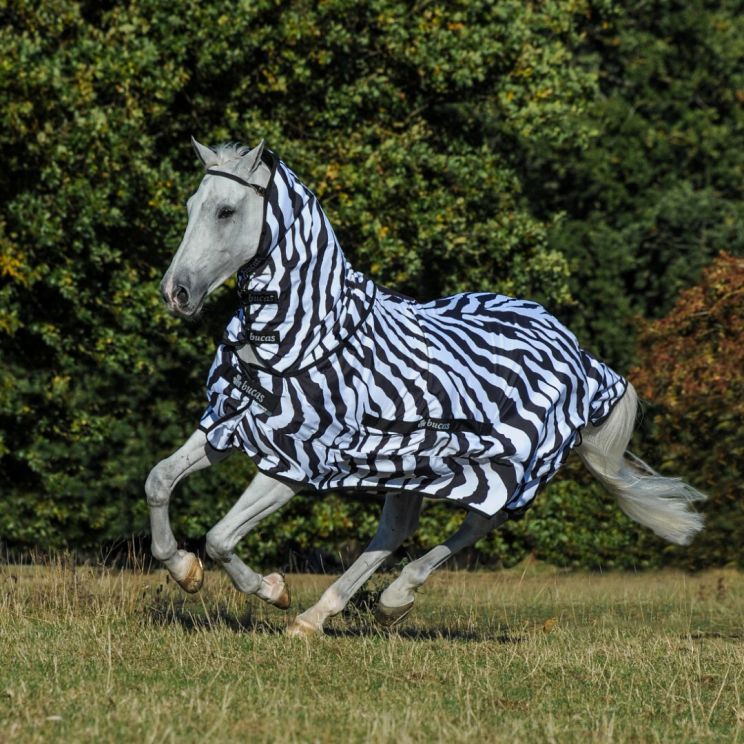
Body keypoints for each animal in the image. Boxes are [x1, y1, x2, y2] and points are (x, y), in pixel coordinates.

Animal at [146, 138, 705, 636]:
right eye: (191, 206)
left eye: (225, 211)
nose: (176, 293)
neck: (303, 334)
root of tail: (579, 354)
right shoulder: (233, 421)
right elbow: (159, 481)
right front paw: (184, 571)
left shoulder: (296, 459)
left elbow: (220, 538)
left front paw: (272, 589)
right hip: (408, 465)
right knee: (395, 531)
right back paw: (318, 617)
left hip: (504, 466)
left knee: (477, 524)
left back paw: (388, 600)